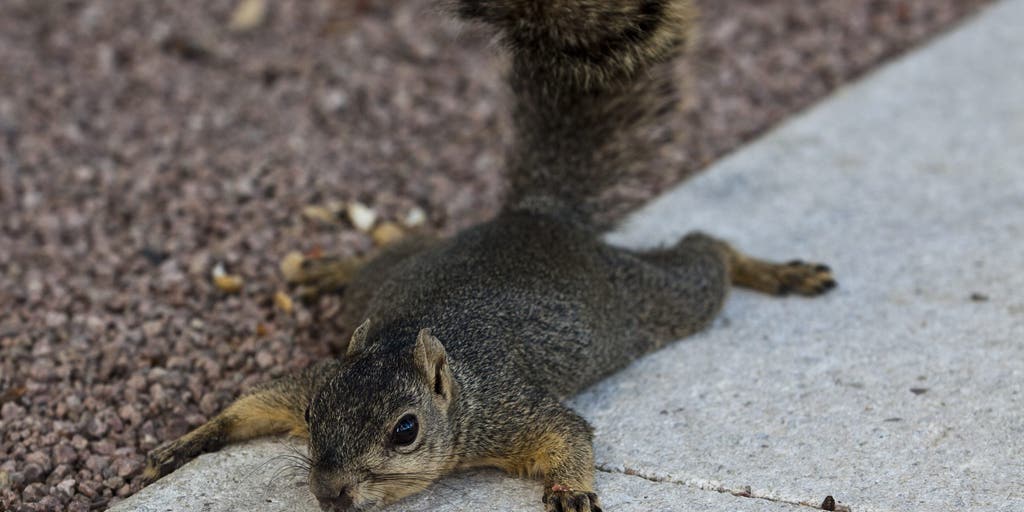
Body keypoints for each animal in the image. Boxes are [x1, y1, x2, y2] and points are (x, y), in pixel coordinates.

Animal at [142, 1, 836, 511]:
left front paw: (573, 490)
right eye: (314, 416)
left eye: (405, 430)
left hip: (652, 300)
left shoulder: (509, 410)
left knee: (705, 255)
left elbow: (567, 432)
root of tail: (534, 217)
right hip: (389, 274)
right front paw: (186, 442)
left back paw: (774, 271)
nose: (331, 495)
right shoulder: (314, 377)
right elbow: (254, 403)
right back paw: (332, 267)